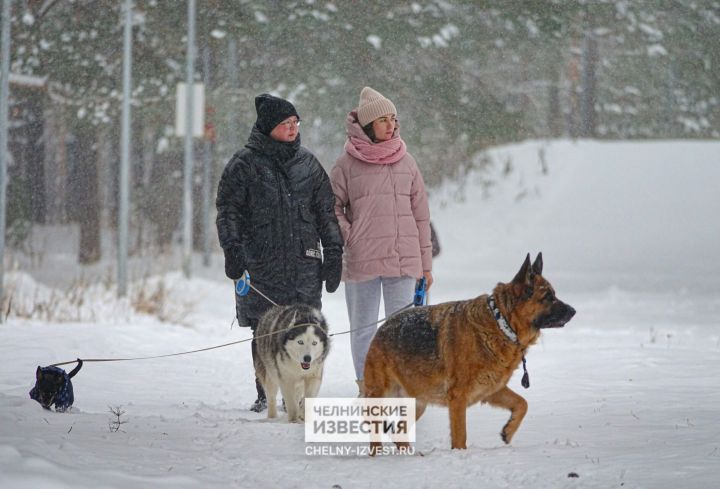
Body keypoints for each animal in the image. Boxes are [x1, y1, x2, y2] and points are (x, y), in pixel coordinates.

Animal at [362, 254, 576, 452]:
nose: (574, 311)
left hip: (418, 402)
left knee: (398, 433)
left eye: (554, 294)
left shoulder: (491, 390)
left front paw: (508, 430)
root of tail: (382, 329)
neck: (501, 324)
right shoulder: (458, 398)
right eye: (548, 297)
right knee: (377, 434)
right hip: (381, 397)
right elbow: (460, 437)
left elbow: (523, 403)